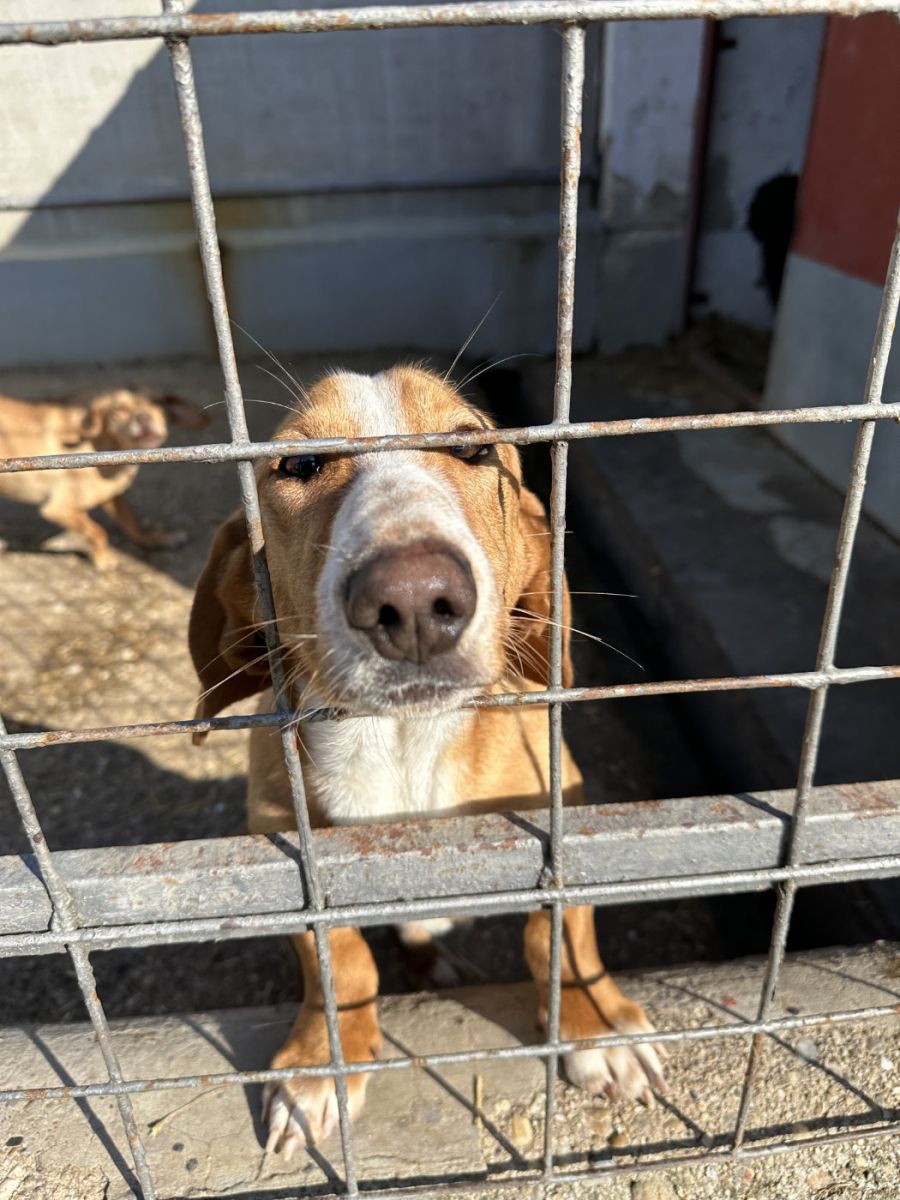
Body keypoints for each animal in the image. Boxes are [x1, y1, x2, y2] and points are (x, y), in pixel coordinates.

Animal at [0, 387, 208, 569]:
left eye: (158, 403)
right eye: (118, 410)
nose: (143, 417)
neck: (103, 444)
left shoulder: (113, 496)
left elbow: (131, 521)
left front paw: (156, 539)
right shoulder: (58, 509)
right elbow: (98, 531)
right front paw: (103, 559)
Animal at [189, 365, 664, 1157]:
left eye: (472, 449)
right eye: (299, 463)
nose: (411, 599)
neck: (404, 747)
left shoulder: (563, 805)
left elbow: (560, 929)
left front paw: (597, 1026)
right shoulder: (281, 842)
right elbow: (340, 959)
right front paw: (321, 1062)